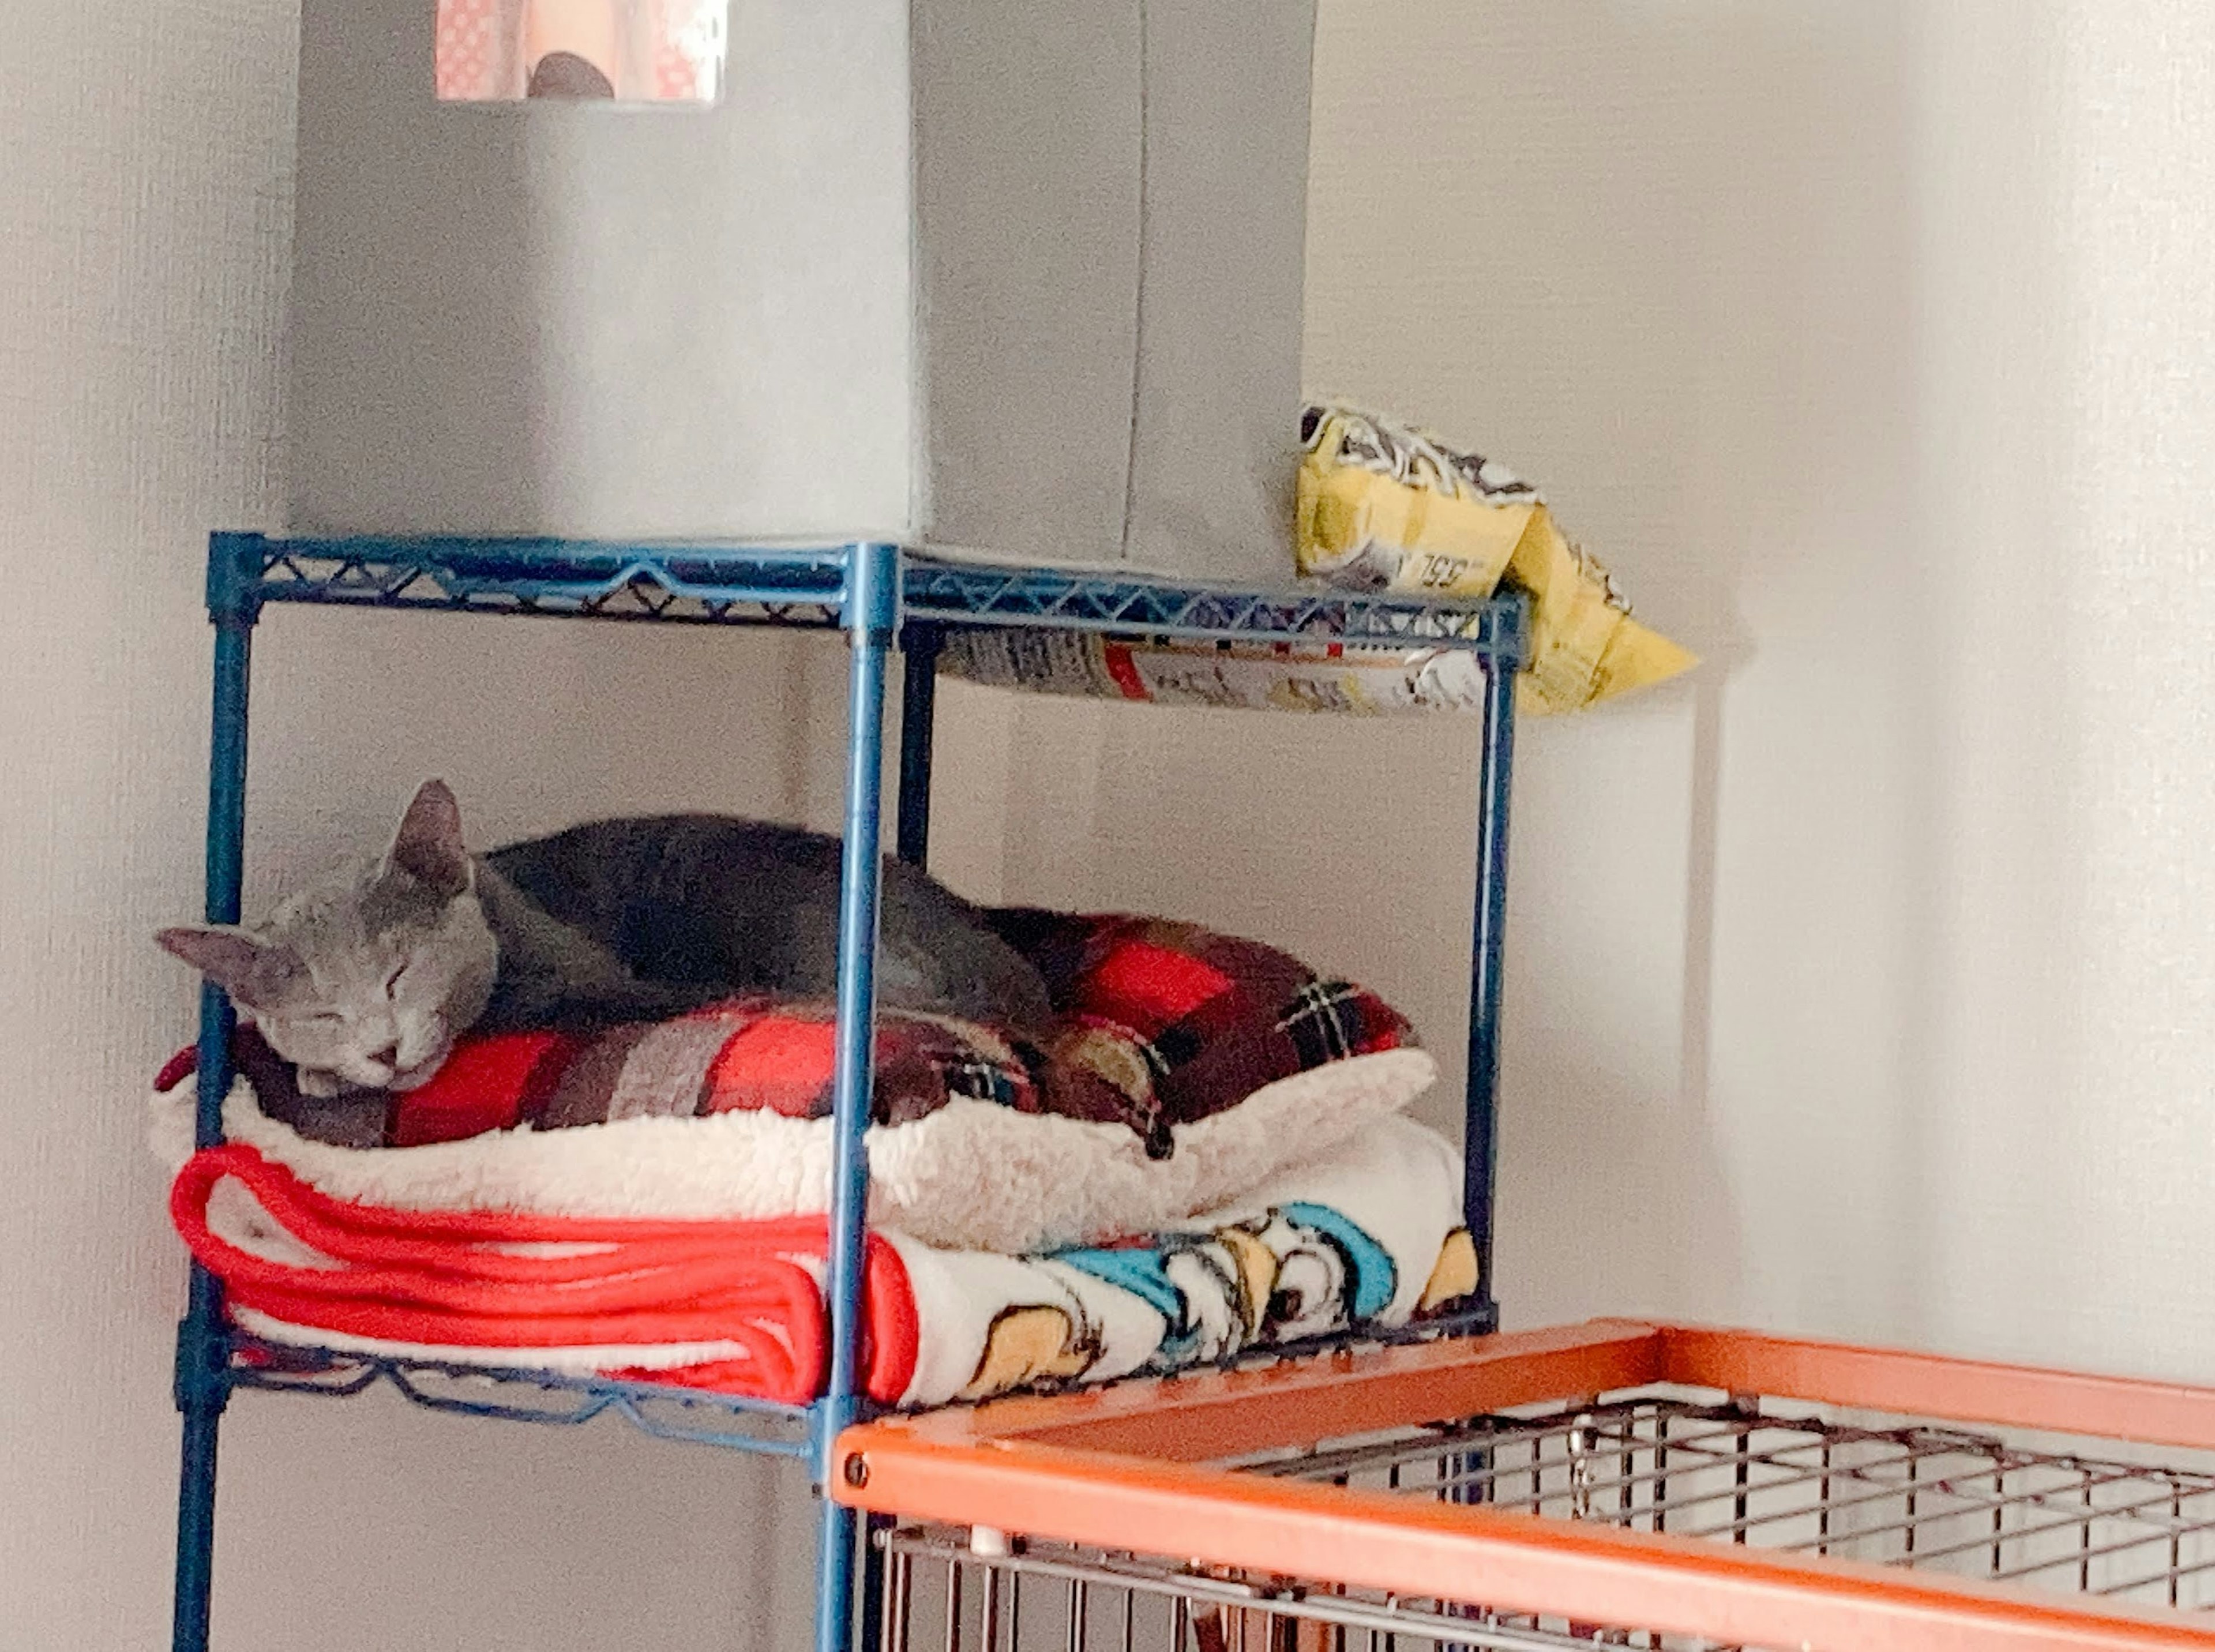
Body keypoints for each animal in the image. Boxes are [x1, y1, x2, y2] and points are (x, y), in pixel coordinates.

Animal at [156, 775, 1054, 1094]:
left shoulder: (578, 978)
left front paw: (331, 1079)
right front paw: (327, 1070)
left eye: (398, 973)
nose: (379, 1046)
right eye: (321, 1014)